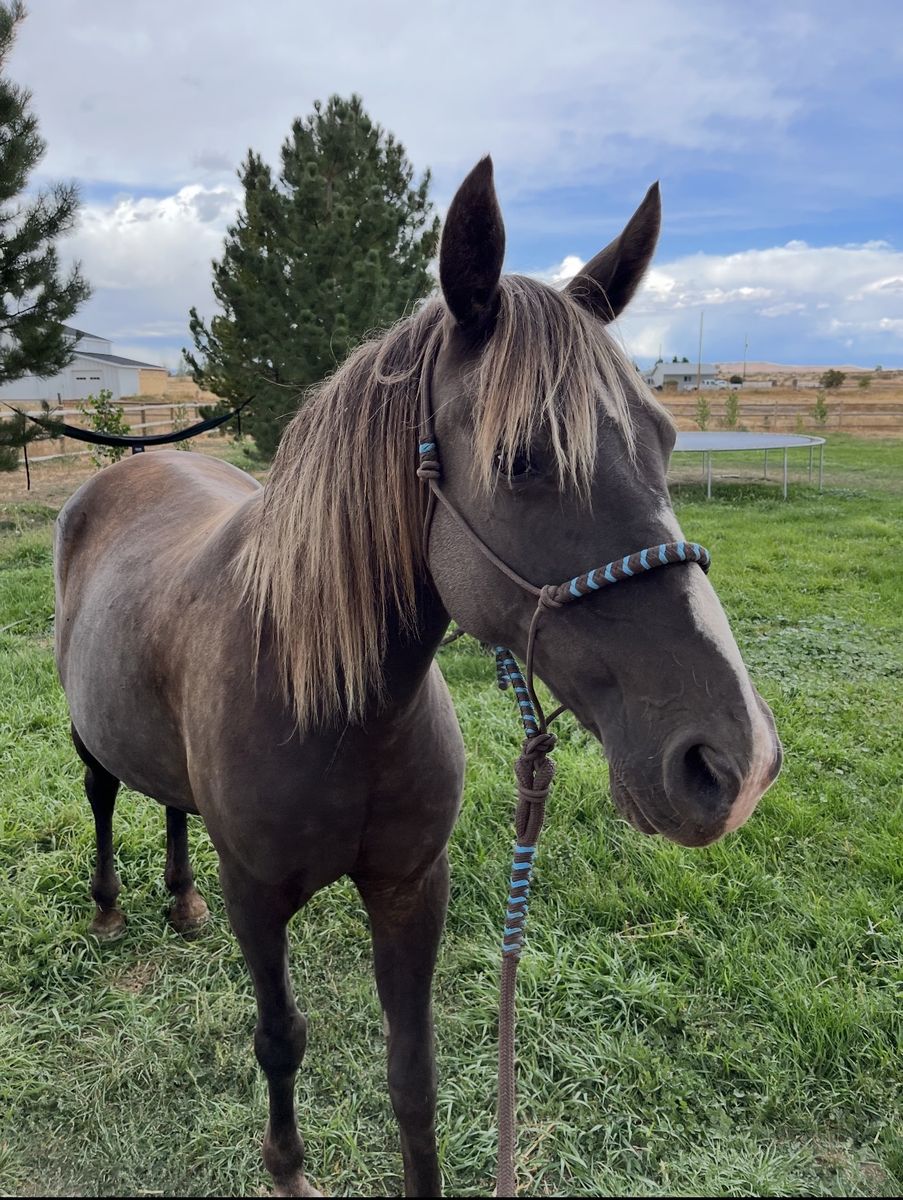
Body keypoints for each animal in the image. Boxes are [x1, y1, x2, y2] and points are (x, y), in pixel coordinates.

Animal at [53, 157, 782, 1197]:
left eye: (665, 440)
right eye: (521, 458)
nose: (735, 762)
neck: (335, 706)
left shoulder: (409, 889)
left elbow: (414, 1078)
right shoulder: (256, 898)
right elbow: (280, 1038)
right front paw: (287, 1168)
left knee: (169, 804)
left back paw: (179, 902)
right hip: (89, 740)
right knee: (106, 797)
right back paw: (113, 908)